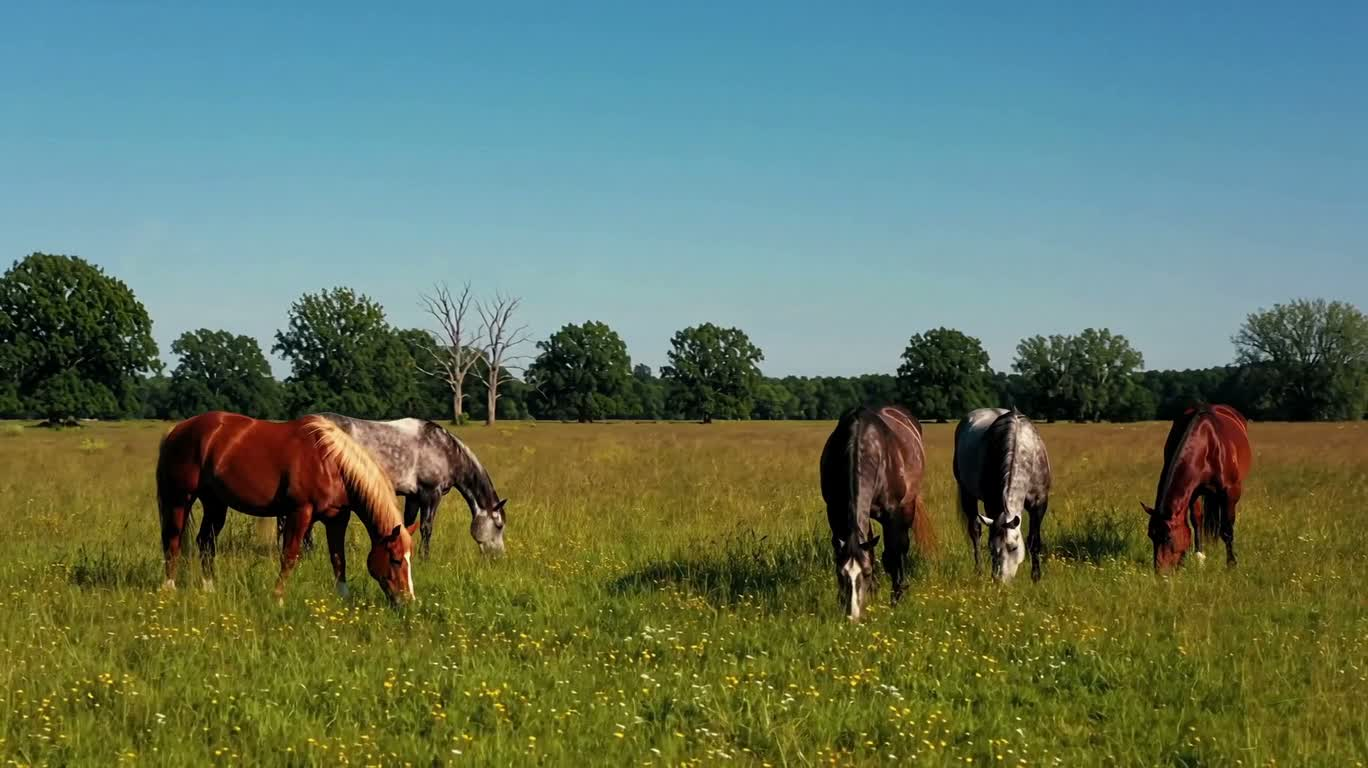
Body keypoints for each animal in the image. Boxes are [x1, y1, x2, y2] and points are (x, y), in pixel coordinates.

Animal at [156, 411, 415, 604]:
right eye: (396, 559)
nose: (407, 601)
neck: (330, 463)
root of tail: (177, 430)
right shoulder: (299, 513)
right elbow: (289, 555)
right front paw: (278, 597)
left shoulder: (337, 518)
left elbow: (338, 559)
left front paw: (344, 599)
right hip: (180, 499)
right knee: (173, 541)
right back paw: (169, 588)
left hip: (215, 503)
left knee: (205, 542)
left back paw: (209, 588)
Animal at [280, 414, 507, 559]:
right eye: (499, 526)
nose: (498, 557)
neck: (445, 450)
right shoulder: (430, 493)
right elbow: (426, 527)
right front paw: (425, 558)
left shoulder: (413, 496)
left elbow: (408, 525)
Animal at [819, 405, 934, 621]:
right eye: (841, 574)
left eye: (865, 572)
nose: (853, 616)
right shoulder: (835, 510)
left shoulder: (892, 515)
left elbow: (892, 555)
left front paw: (896, 599)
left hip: (908, 506)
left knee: (902, 548)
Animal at [953, 408, 1051, 582]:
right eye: (992, 548)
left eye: (1013, 547)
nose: (1000, 580)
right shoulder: (991, 504)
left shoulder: (1039, 504)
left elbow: (1034, 541)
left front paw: (1036, 577)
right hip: (966, 493)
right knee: (975, 530)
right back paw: (979, 570)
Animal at [1142, 404, 1252, 572]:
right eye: (1150, 535)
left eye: (1168, 537)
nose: (1160, 573)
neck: (1208, 444)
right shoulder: (1193, 492)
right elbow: (1195, 521)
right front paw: (1198, 558)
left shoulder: (1230, 493)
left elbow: (1227, 530)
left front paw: (1231, 564)